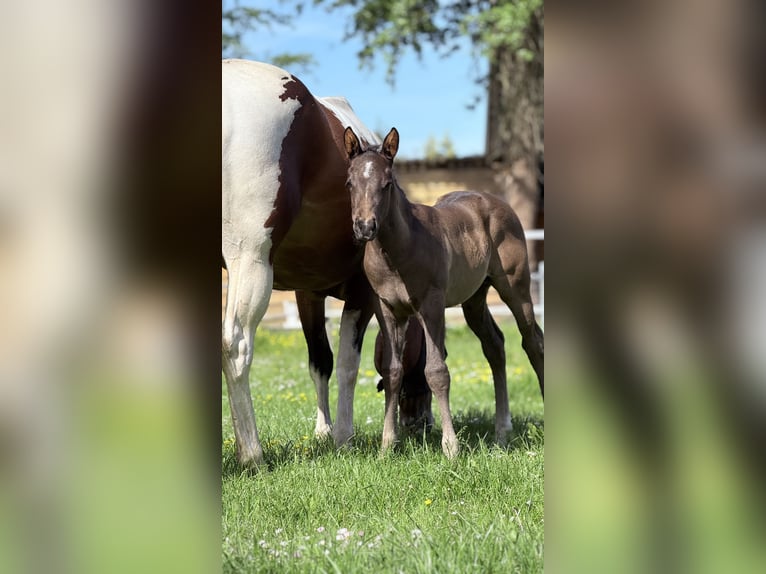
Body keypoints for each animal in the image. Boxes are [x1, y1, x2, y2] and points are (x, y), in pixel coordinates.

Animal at [222, 59, 386, 468]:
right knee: (236, 344)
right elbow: (347, 365)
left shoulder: (307, 294)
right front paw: (343, 437)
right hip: (249, 261)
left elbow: (321, 362)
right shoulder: (363, 294)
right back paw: (252, 455)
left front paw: (324, 432)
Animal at [343, 126, 544, 458]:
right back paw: (502, 431)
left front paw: (450, 447)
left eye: (387, 184)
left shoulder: (431, 306)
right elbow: (393, 371)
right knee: (495, 346)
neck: (398, 251)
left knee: (533, 342)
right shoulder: (388, 310)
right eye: (349, 182)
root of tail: (496, 201)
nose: (365, 227)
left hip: (516, 288)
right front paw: (387, 446)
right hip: (474, 300)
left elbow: (437, 372)